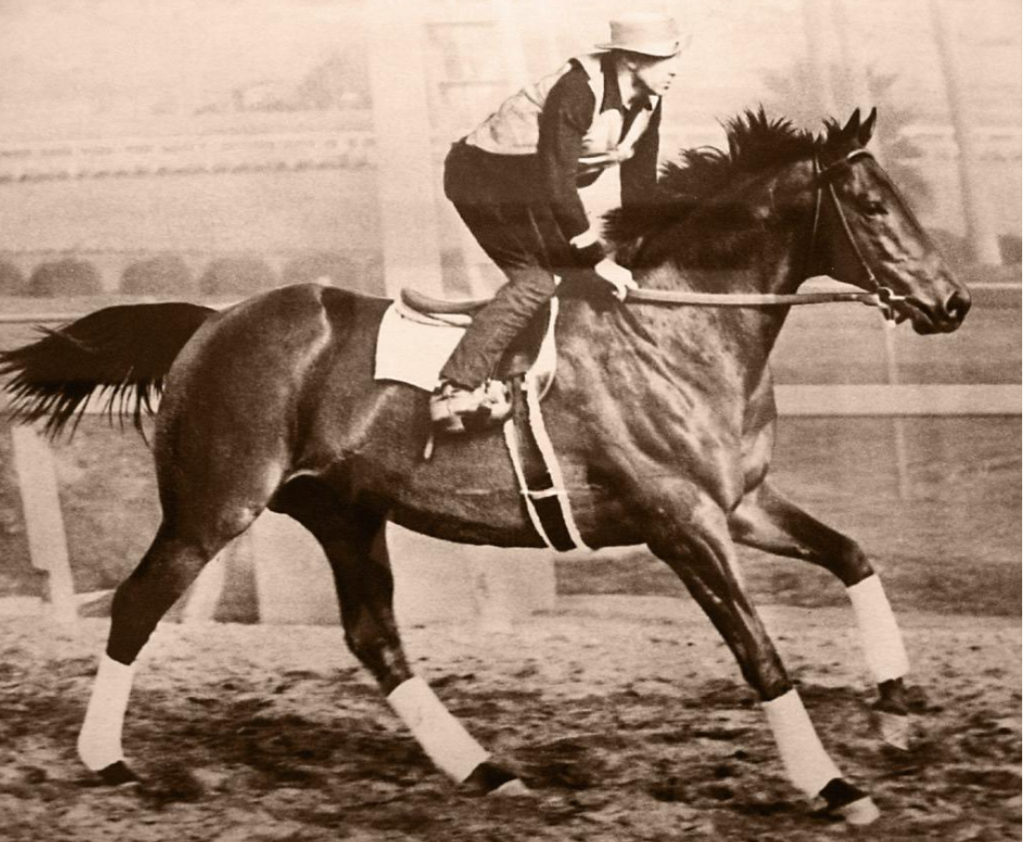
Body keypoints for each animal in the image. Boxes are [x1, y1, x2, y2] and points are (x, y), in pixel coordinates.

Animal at [1, 109, 970, 826]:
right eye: (873, 205)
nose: (953, 301)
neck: (677, 328)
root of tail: (210, 322)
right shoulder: (680, 522)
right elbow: (760, 654)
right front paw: (833, 784)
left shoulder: (741, 505)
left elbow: (853, 557)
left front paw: (894, 711)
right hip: (215, 507)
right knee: (137, 604)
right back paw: (105, 759)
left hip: (343, 512)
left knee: (375, 638)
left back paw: (483, 771)